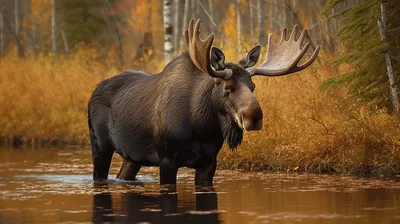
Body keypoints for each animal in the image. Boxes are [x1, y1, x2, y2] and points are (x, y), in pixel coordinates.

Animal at [87, 19, 318, 186]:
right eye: (227, 88)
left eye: (253, 86)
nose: (254, 118)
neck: (201, 126)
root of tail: (94, 91)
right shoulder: (167, 159)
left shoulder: (209, 162)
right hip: (99, 145)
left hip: (132, 157)